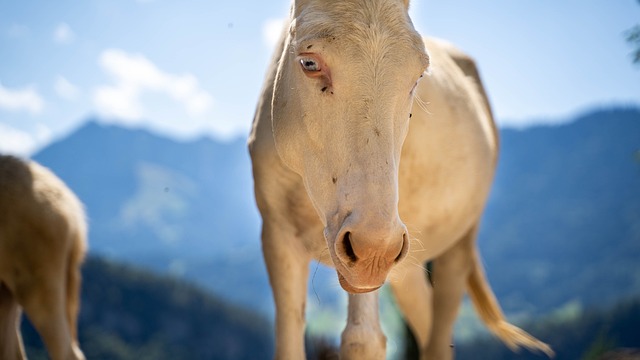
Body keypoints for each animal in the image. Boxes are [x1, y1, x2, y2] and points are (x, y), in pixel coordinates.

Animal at [248, 0, 552, 358]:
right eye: (309, 63)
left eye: (419, 75)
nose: (374, 254)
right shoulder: (278, 236)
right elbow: (289, 334)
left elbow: (362, 339)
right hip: (404, 266)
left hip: (456, 244)